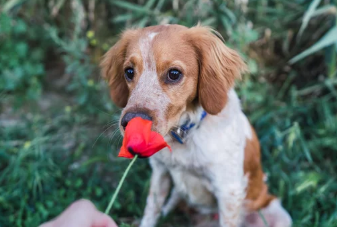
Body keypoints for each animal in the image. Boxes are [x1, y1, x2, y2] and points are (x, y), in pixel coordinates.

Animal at [100, 24, 292, 227]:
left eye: (174, 74)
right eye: (129, 72)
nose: (130, 123)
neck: (183, 133)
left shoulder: (229, 191)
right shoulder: (160, 172)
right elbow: (152, 210)